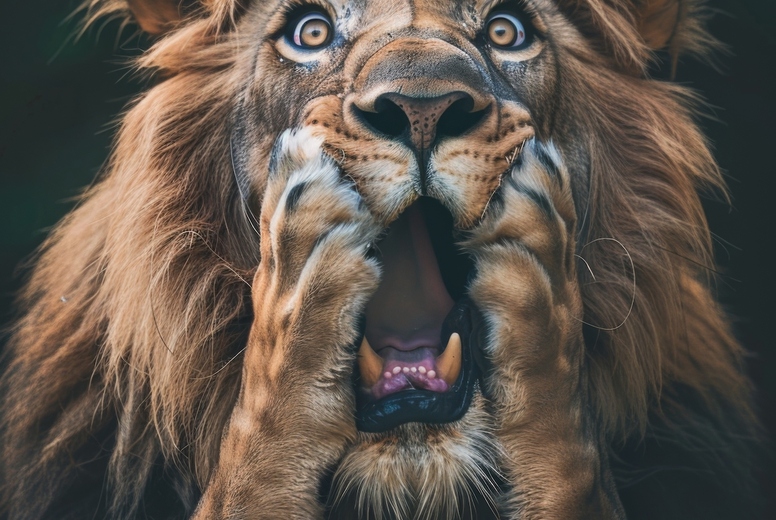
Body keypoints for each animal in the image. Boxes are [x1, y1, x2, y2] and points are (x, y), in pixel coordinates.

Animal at [0, 0, 761, 519]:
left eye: (506, 30)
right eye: (310, 30)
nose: (423, 109)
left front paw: (534, 294)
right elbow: (255, 449)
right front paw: (302, 287)